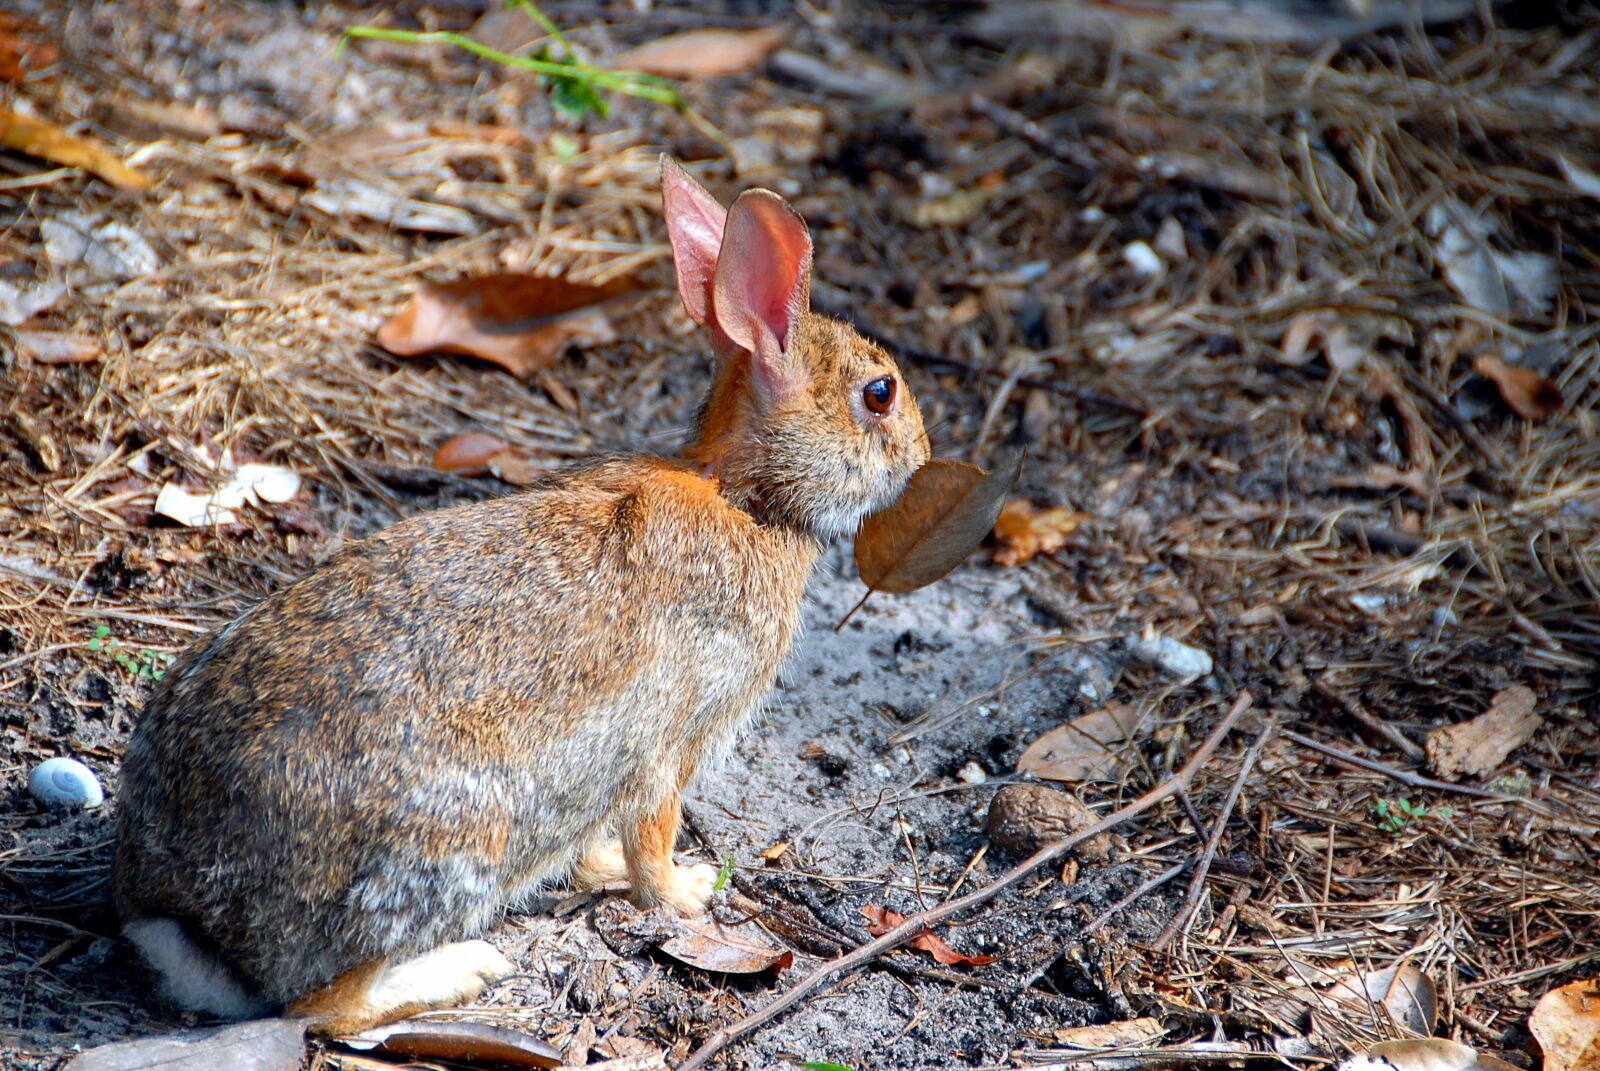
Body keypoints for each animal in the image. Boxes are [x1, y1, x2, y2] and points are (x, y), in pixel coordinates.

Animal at [113, 156, 931, 1035]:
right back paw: (461, 968)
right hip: (455, 843)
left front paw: (598, 867)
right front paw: (686, 890)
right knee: (323, 1005)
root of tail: (182, 914)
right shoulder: (672, 737)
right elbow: (655, 832)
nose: (923, 452)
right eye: (879, 393)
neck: (748, 496)